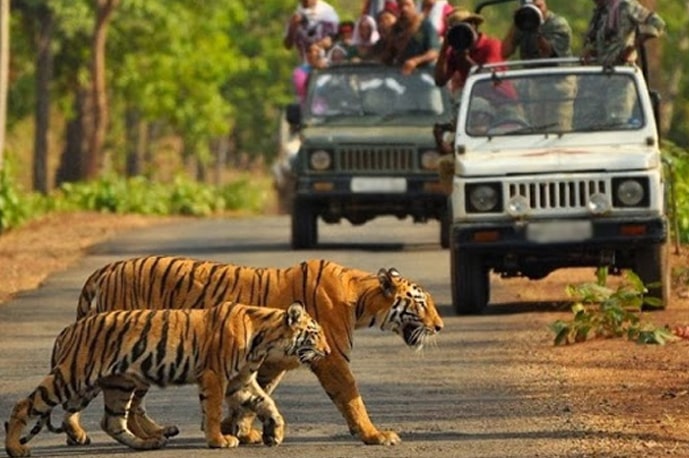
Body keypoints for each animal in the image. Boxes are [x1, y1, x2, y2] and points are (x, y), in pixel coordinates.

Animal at [4, 300, 328, 458]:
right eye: (315, 334)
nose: (327, 351)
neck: (265, 340)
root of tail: (68, 329)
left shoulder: (241, 381)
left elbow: (267, 403)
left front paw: (275, 433)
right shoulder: (215, 376)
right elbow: (212, 411)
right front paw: (219, 441)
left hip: (116, 384)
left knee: (111, 421)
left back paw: (149, 443)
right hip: (72, 376)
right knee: (23, 405)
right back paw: (15, 449)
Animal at [74, 258, 440, 448]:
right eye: (421, 303)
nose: (439, 326)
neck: (361, 300)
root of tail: (104, 269)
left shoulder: (269, 363)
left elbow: (254, 396)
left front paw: (238, 429)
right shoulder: (331, 359)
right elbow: (351, 399)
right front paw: (374, 435)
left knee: (130, 404)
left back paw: (154, 434)